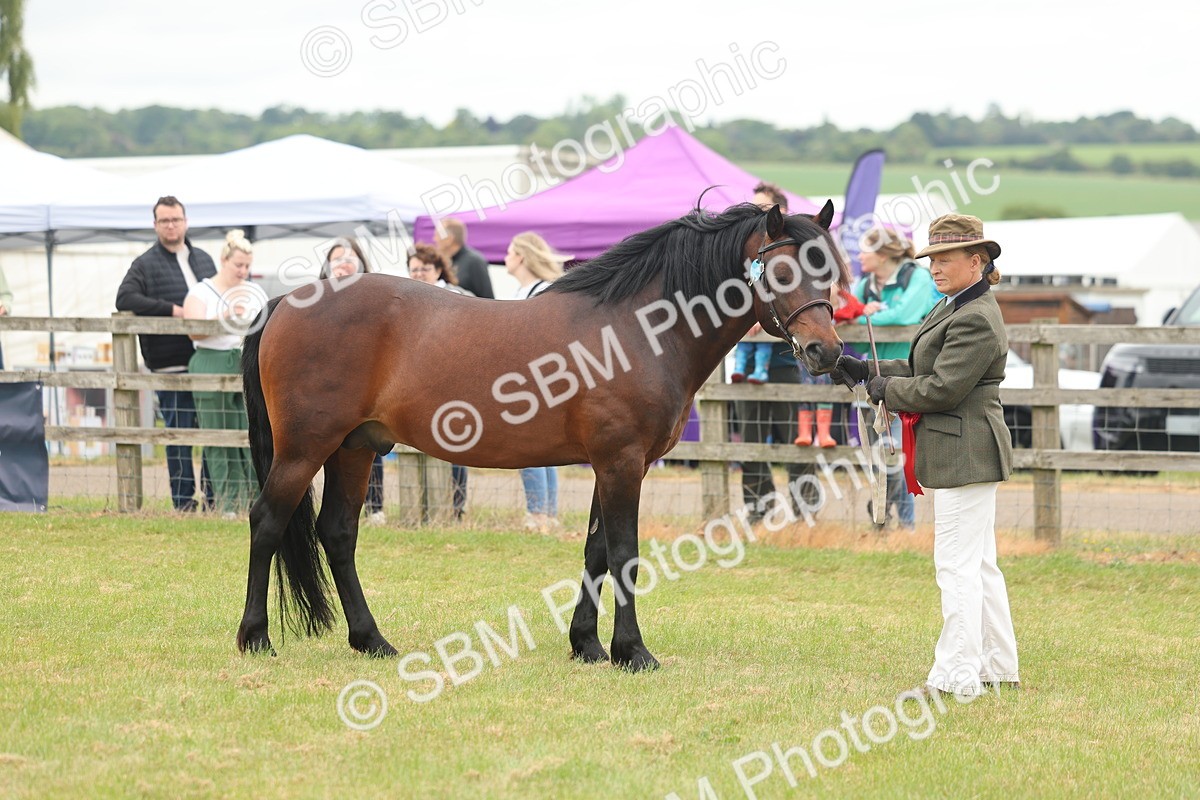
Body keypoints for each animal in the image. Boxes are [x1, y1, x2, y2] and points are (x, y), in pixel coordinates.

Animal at [236, 200, 850, 671]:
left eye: (829, 271)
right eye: (783, 272)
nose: (826, 352)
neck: (636, 328)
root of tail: (285, 302)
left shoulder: (614, 463)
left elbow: (596, 551)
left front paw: (588, 646)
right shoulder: (621, 461)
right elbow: (624, 552)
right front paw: (633, 652)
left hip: (356, 448)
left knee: (337, 532)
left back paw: (372, 641)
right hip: (305, 448)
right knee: (267, 520)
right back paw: (256, 636)